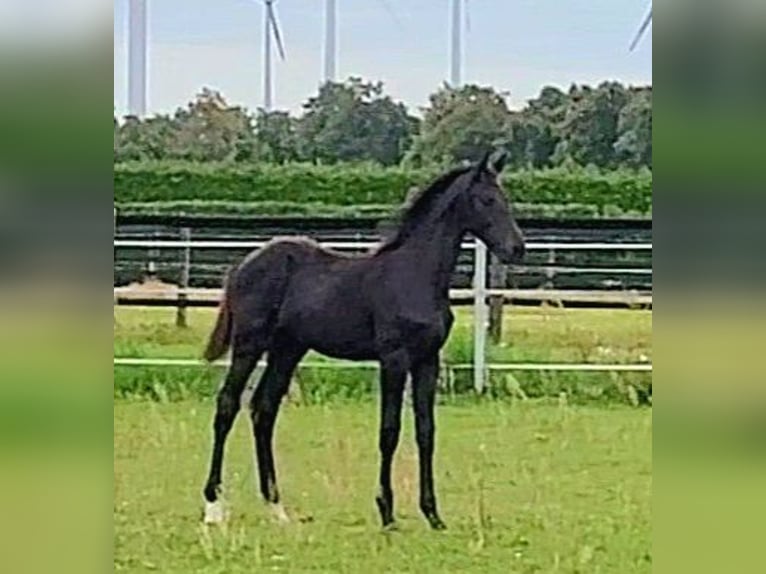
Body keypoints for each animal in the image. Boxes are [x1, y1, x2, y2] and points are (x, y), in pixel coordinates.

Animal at [201, 151, 525, 530]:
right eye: (486, 200)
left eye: (505, 199)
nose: (517, 248)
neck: (414, 274)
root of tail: (242, 265)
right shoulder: (394, 358)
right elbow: (389, 431)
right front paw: (387, 512)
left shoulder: (427, 359)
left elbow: (426, 432)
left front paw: (433, 515)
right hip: (250, 343)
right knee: (227, 405)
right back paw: (213, 507)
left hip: (287, 348)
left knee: (263, 410)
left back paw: (277, 509)